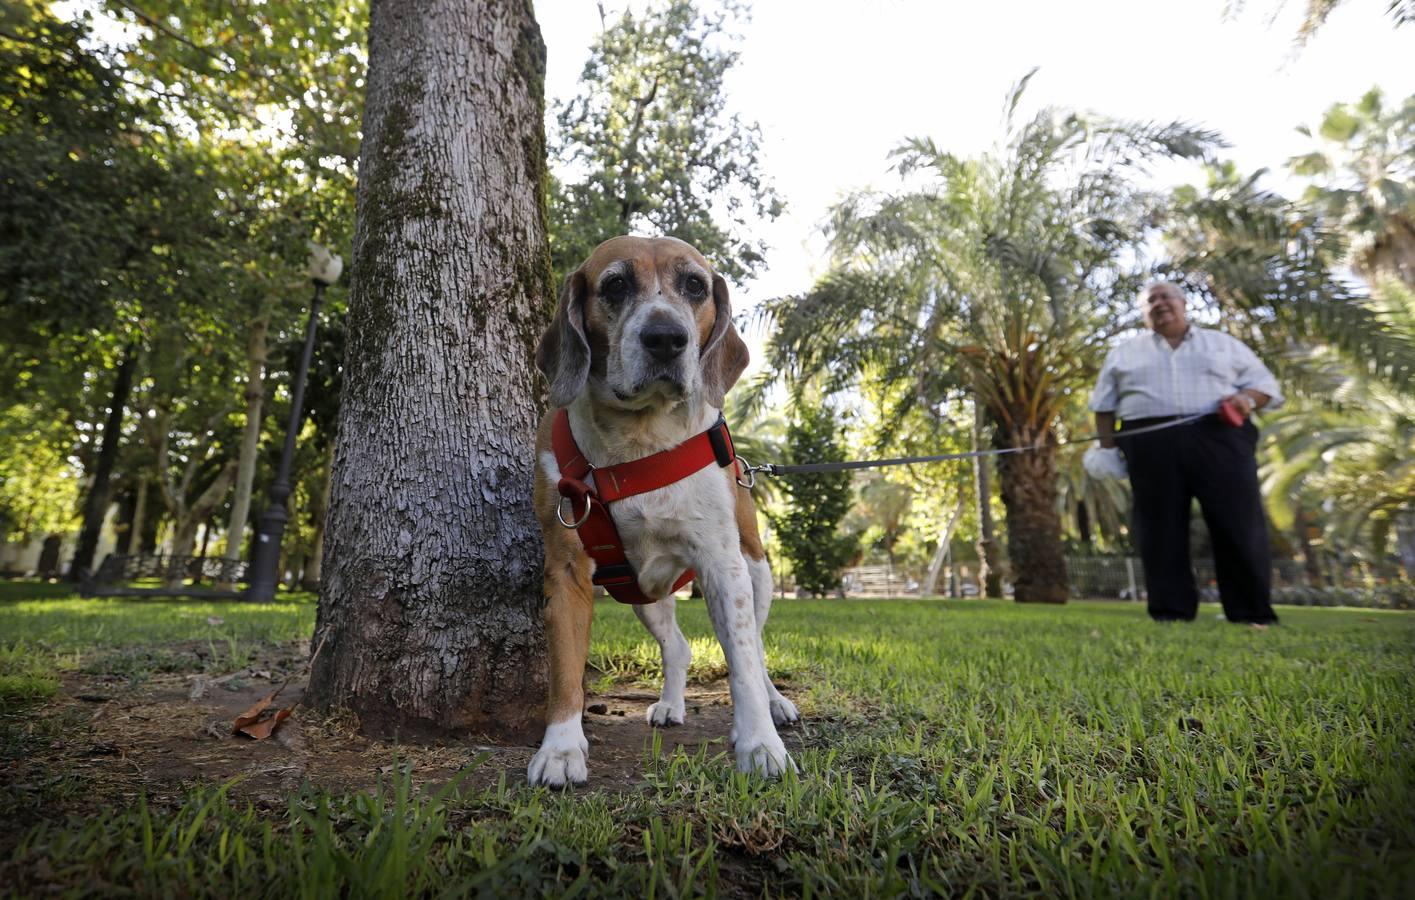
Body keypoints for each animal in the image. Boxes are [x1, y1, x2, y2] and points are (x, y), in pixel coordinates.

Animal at [529, 234, 798, 786]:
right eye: (615, 285)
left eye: (694, 285)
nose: (666, 338)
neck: (639, 443)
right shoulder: (566, 570)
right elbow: (565, 670)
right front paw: (561, 749)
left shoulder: (724, 567)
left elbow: (744, 665)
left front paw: (760, 744)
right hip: (644, 593)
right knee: (678, 647)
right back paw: (672, 704)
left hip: (757, 573)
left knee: (759, 654)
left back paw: (775, 704)